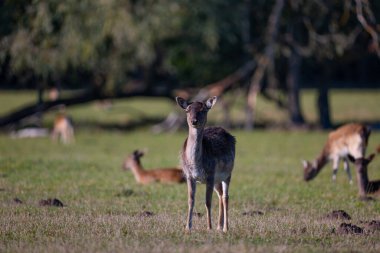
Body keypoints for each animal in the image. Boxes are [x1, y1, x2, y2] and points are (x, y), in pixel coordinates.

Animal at [177, 96, 236, 232]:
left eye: (203, 110)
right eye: (187, 110)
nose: (194, 121)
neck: (196, 164)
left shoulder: (210, 174)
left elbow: (207, 202)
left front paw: (209, 227)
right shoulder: (189, 176)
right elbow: (190, 200)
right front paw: (187, 228)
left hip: (227, 173)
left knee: (225, 197)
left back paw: (225, 228)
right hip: (217, 180)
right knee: (220, 194)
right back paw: (219, 226)